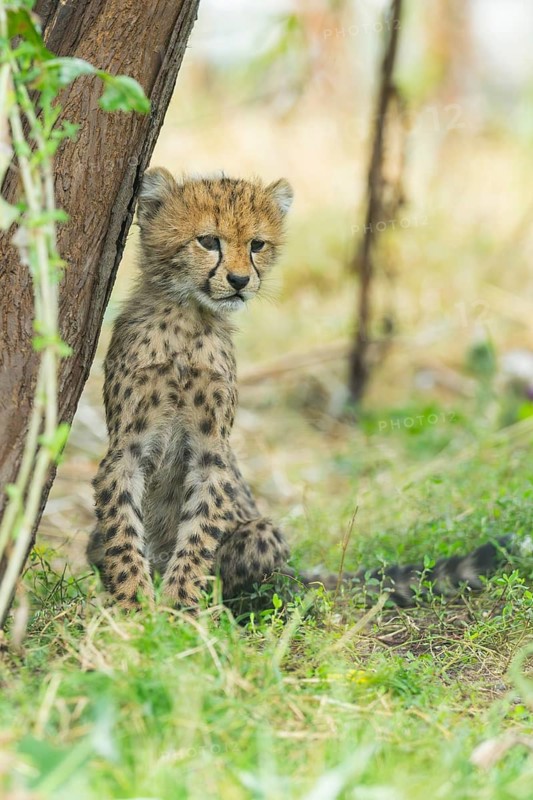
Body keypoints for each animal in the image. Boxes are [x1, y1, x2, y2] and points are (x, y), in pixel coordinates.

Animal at [87, 167, 515, 610]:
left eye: (257, 245)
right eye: (208, 241)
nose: (239, 280)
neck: (187, 319)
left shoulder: (211, 451)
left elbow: (199, 532)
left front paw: (180, 606)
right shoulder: (126, 448)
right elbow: (122, 532)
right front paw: (134, 605)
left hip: (263, 533)